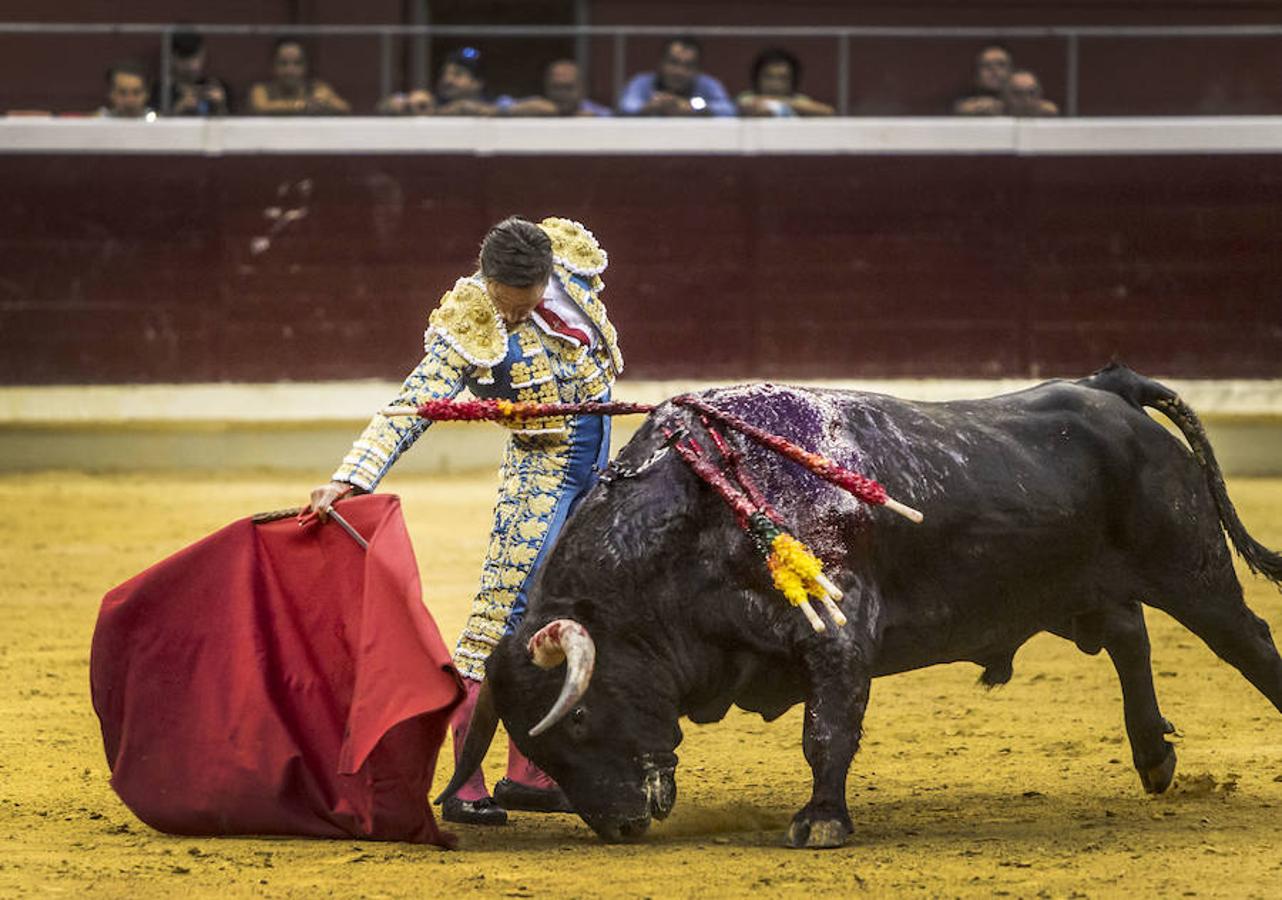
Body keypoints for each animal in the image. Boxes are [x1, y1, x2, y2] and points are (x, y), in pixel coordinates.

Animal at [435, 364, 1276, 851]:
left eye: (577, 716)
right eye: (537, 746)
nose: (620, 826)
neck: (699, 518)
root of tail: (1109, 390)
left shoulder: (839, 637)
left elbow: (826, 732)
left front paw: (821, 824)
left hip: (1192, 567)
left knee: (1249, 640)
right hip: (1080, 588)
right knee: (1131, 635)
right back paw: (1154, 759)